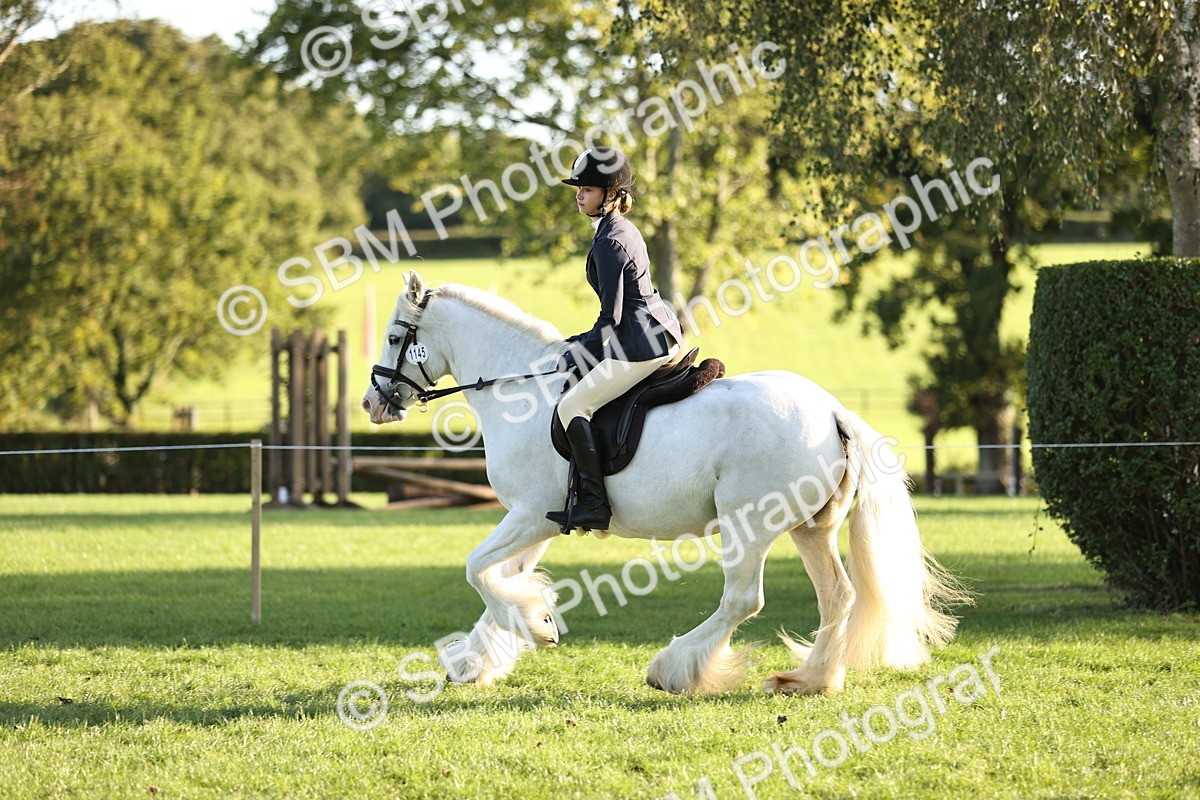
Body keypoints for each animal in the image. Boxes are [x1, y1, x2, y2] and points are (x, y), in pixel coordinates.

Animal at [361, 271, 965, 695]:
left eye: (393, 336)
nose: (372, 404)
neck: (521, 388)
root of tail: (833, 410)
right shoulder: (538, 522)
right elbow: (499, 581)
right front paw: (480, 658)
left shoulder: (529, 515)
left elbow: (478, 571)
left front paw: (535, 626)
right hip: (810, 528)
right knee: (837, 595)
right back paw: (809, 680)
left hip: (748, 523)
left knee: (743, 598)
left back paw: (674, 669)